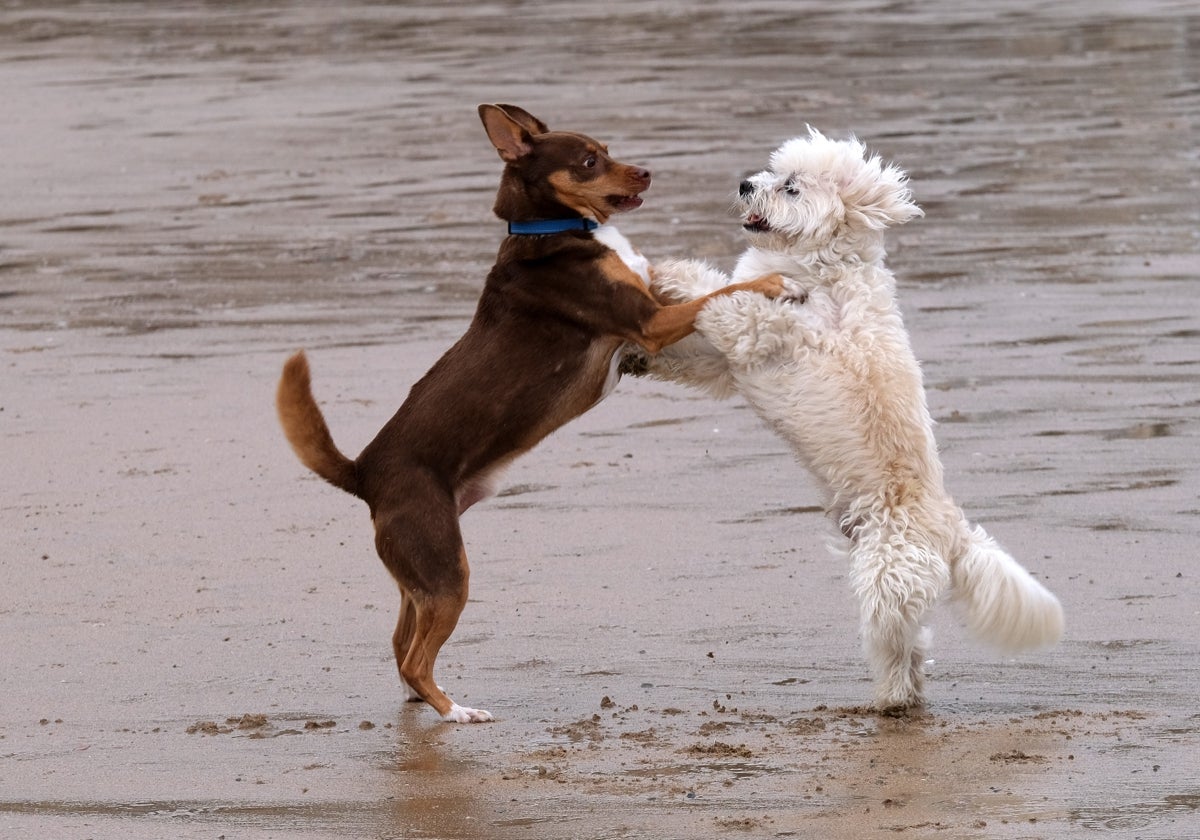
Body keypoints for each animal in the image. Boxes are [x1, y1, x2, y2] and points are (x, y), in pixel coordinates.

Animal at [277, 103, 792, 720]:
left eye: (608, 150)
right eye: (590, 161)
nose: (646, 172)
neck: (551, 230)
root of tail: (364, 474)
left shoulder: (653, 310)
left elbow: (702, 289)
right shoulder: (650, 322)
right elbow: (717, 296)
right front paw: (773, 281)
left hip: (420, 580)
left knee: (400, 644)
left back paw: (424, 700)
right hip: (448, 576)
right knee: (416, 657)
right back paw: (456, 711)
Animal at [624, 127, 1065, 710]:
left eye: (790, 187)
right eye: (772, 172)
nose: (744, 184)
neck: (825, 266)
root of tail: (953, 533)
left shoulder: (761, 332)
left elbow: (725, 298)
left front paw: (670, 273)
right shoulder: (726, 364)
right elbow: (696, 339)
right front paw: (644, 344)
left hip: (887, 576)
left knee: (897, 646)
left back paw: (892, 699)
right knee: (915, 646)